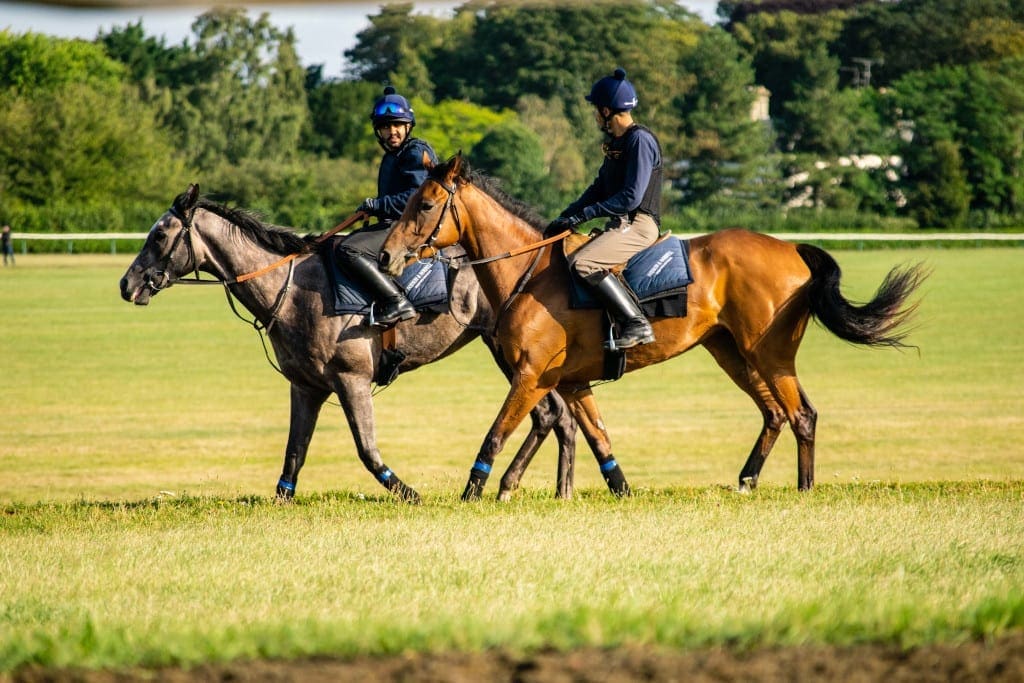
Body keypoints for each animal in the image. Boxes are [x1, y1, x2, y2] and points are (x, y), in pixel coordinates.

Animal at [119, 184, 577, 505]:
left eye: (159, 235)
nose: (126, 284)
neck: (292, 290)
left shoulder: (351, 380)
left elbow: (366, 449)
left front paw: (408, 492)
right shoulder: (306, 387)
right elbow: (295, 451)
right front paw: (282, 498)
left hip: (511, 354)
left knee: (550, 415)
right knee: (555, 417)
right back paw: (549, 488)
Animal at [378, 153, 929, 501]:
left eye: (424, 204)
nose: (387, 256)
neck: (529, 272)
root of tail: (792, 248)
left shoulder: (531, 377)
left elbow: (495, 435)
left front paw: (475, 492)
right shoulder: (572, 383)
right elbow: (599, 438)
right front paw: (621, 491)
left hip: (770, 355)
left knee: (802, 415)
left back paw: (804, 489)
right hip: (732, 353)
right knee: (774, 414)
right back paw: (747, 480)